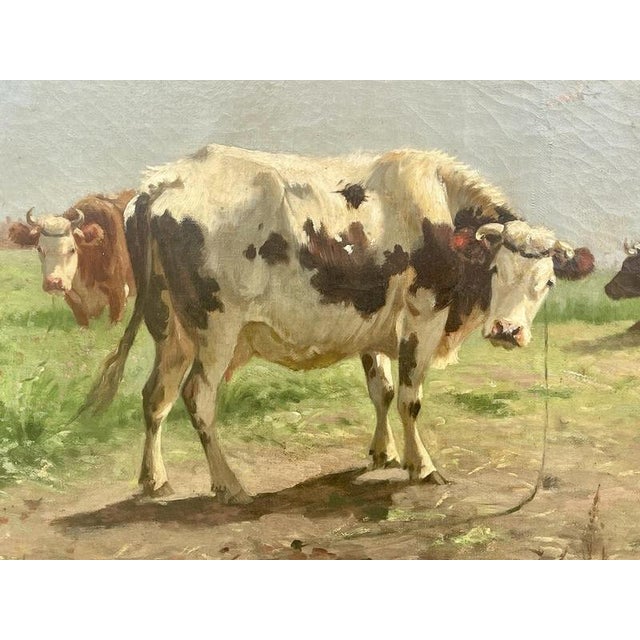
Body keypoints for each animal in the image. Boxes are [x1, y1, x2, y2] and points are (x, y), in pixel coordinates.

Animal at [82, 145, 594, 504]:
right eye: (495, 271)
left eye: (547, 282)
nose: (508, 332)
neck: (441, 214)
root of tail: (159, 184)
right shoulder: (423, 316)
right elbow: (410, 399)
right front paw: (422, 466)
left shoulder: (368, 322)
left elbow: (381, 391)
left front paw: (384, 453)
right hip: (216, 330)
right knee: (197, 398)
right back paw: (229, 485)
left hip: (171, 328)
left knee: (156, 396)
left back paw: (154, 480)